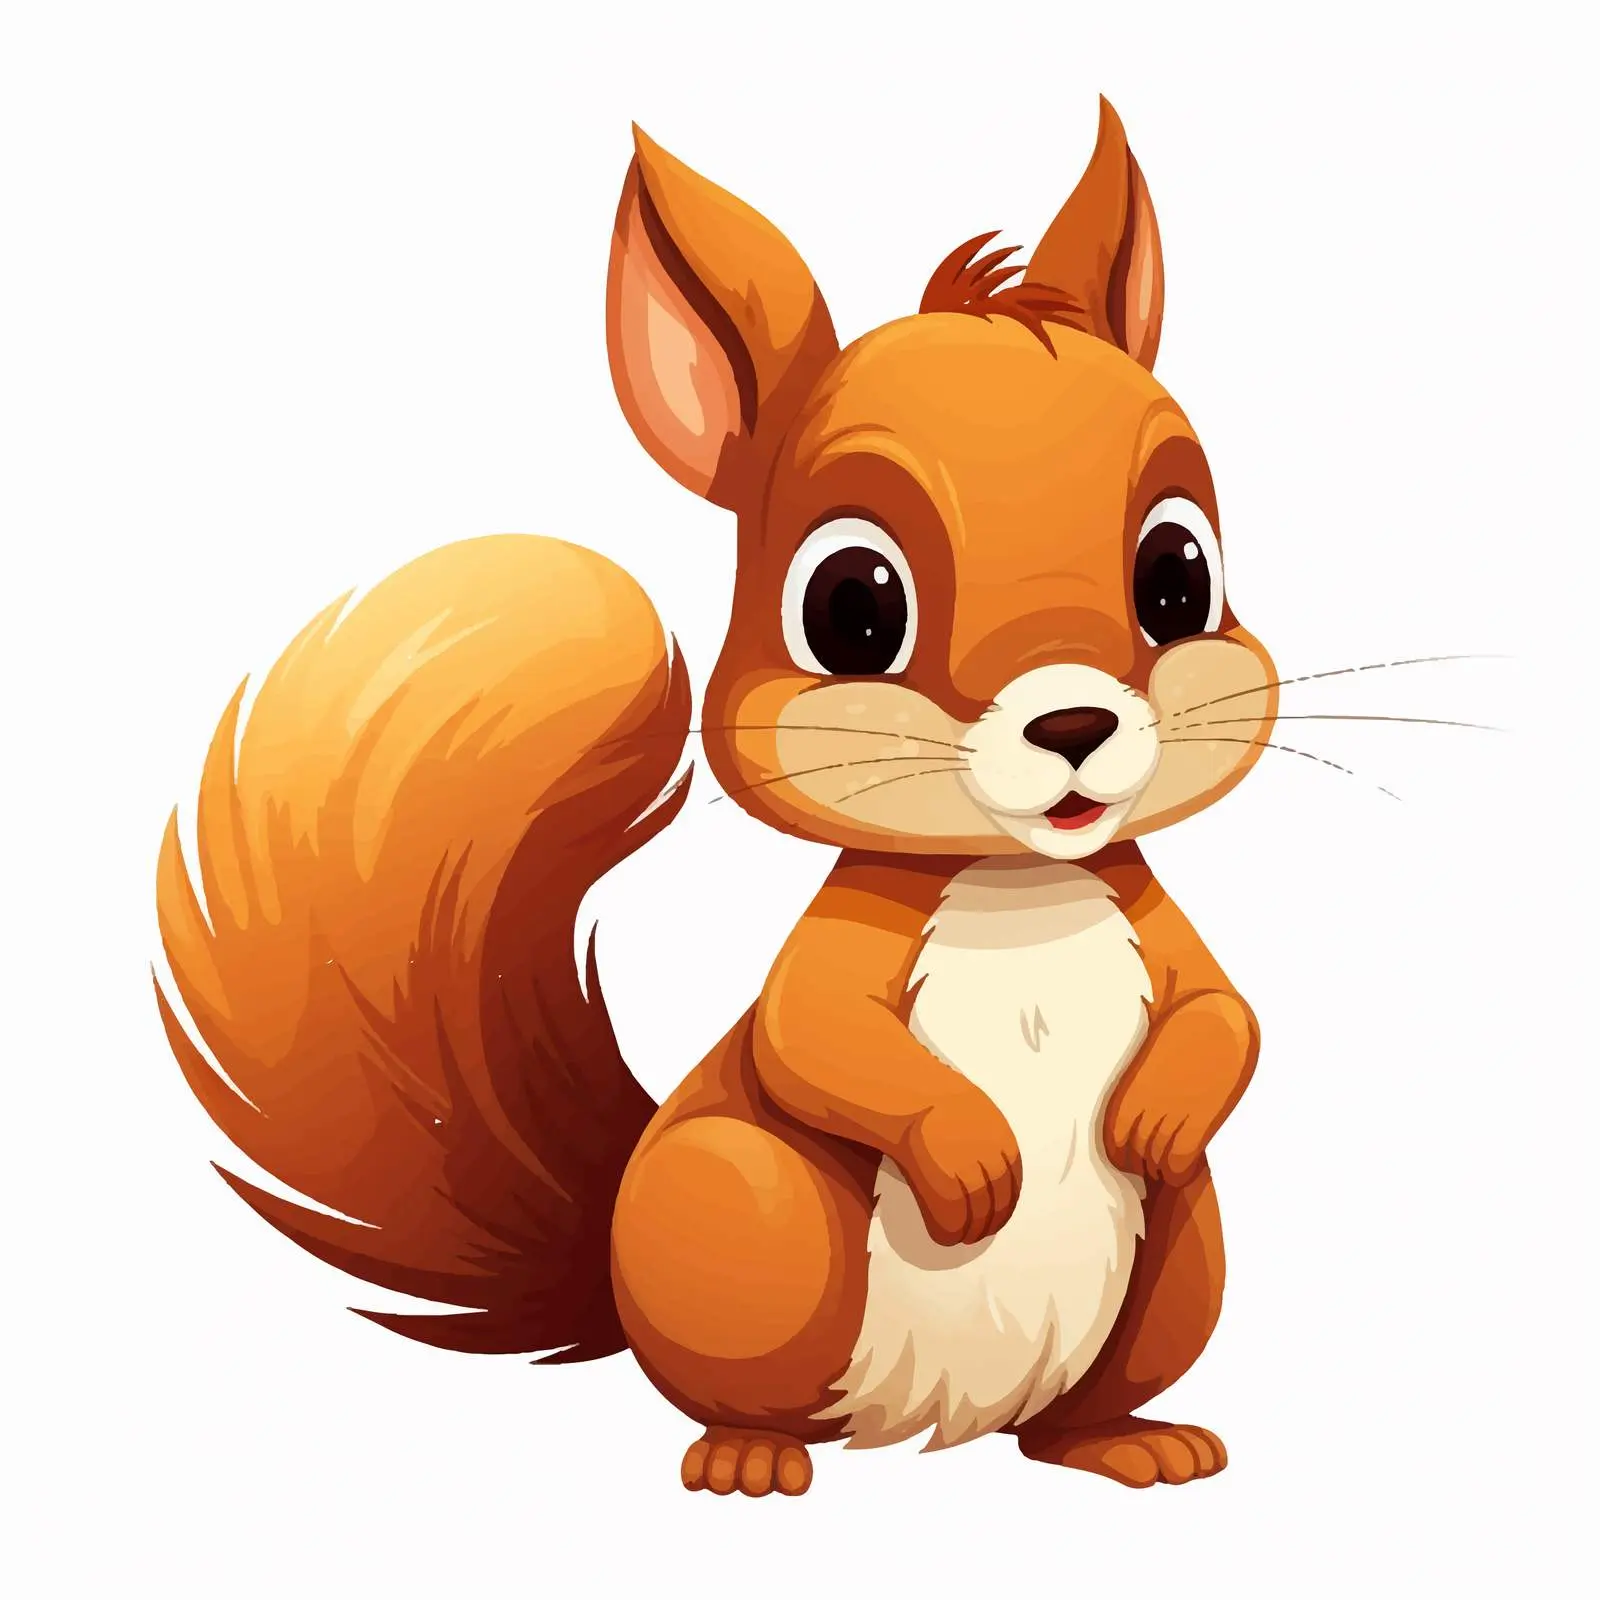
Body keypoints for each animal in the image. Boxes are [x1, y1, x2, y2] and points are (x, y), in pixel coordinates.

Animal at [156, 97, 1274, 1498]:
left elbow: (1228, 1013)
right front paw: (968, 1156)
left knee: (1071, 1410)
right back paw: (748, 1454)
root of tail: (929, 1424)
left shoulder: (1158, 930)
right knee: (738, 1391)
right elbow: (813, 1042)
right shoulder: (833, 963)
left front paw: (1162, 1110)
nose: (1071, 724)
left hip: (1179, 1267)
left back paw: (1131, 1439)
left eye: (1179, 573)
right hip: (748, 1205)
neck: (1015, 882)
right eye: (852, 606)